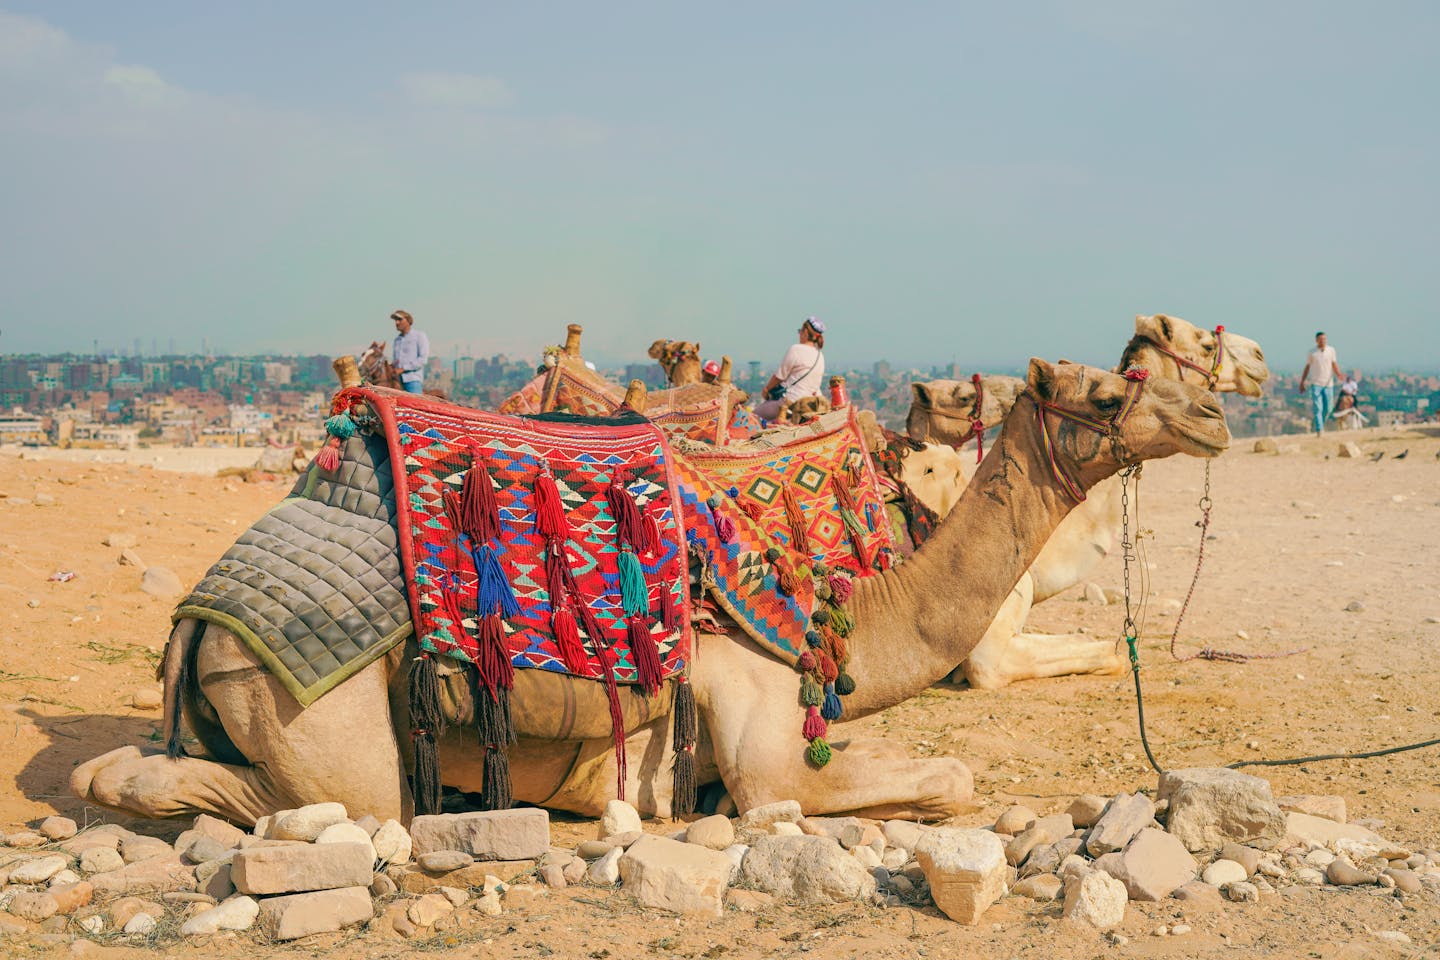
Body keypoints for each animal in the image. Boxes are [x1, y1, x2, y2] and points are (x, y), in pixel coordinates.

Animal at [71, 359, 1228, 825]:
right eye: (1110, 389)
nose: (1215, 413)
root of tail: (195, 618)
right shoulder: (762, 735)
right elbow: (945, 777)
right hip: (307, 703)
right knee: (327, 800)